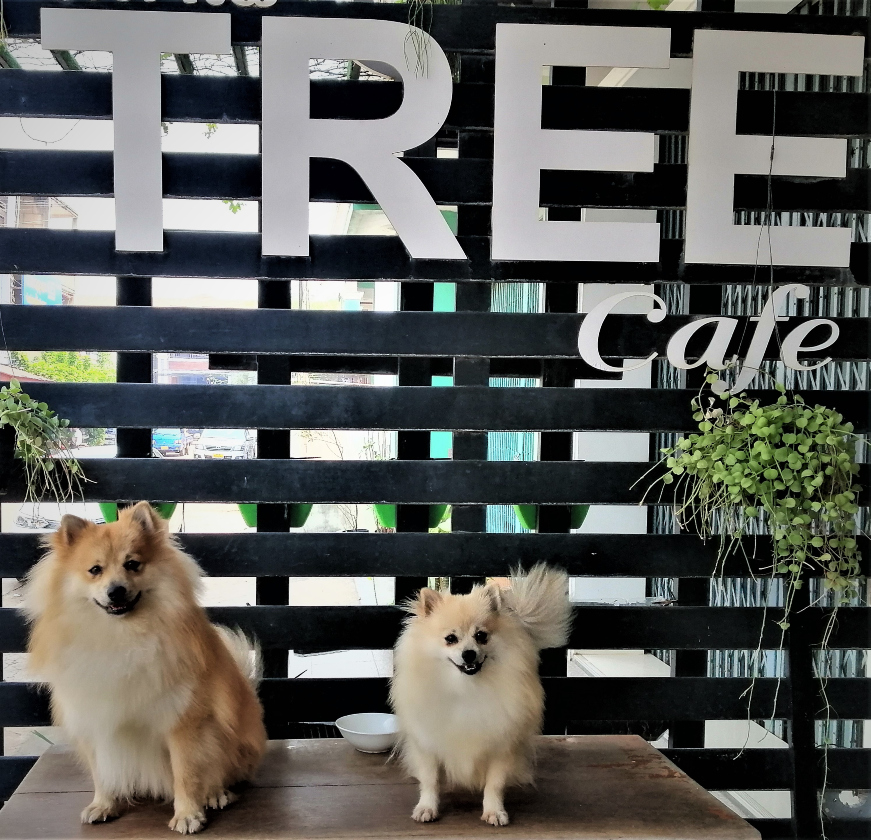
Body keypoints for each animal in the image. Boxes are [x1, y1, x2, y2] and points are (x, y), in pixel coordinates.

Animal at [21, 498, 266, 832]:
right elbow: (101, 771)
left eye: (132, 564)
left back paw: (216, 793)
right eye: (95, 570)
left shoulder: (183, 722)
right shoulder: (94, 718)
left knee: (224, 770)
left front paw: (188, 813)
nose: (116, 590)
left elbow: (187, 773)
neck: (121, 637)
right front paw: (103, 804)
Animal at [390, 564, 572, 828]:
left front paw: (494, 811)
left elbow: (494, 784)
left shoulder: (501, 745)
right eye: (450, 639)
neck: (467, 688)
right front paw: (427, 807)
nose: (469, 654)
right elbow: (430, 780)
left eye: (481, 636)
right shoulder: (428, 744)